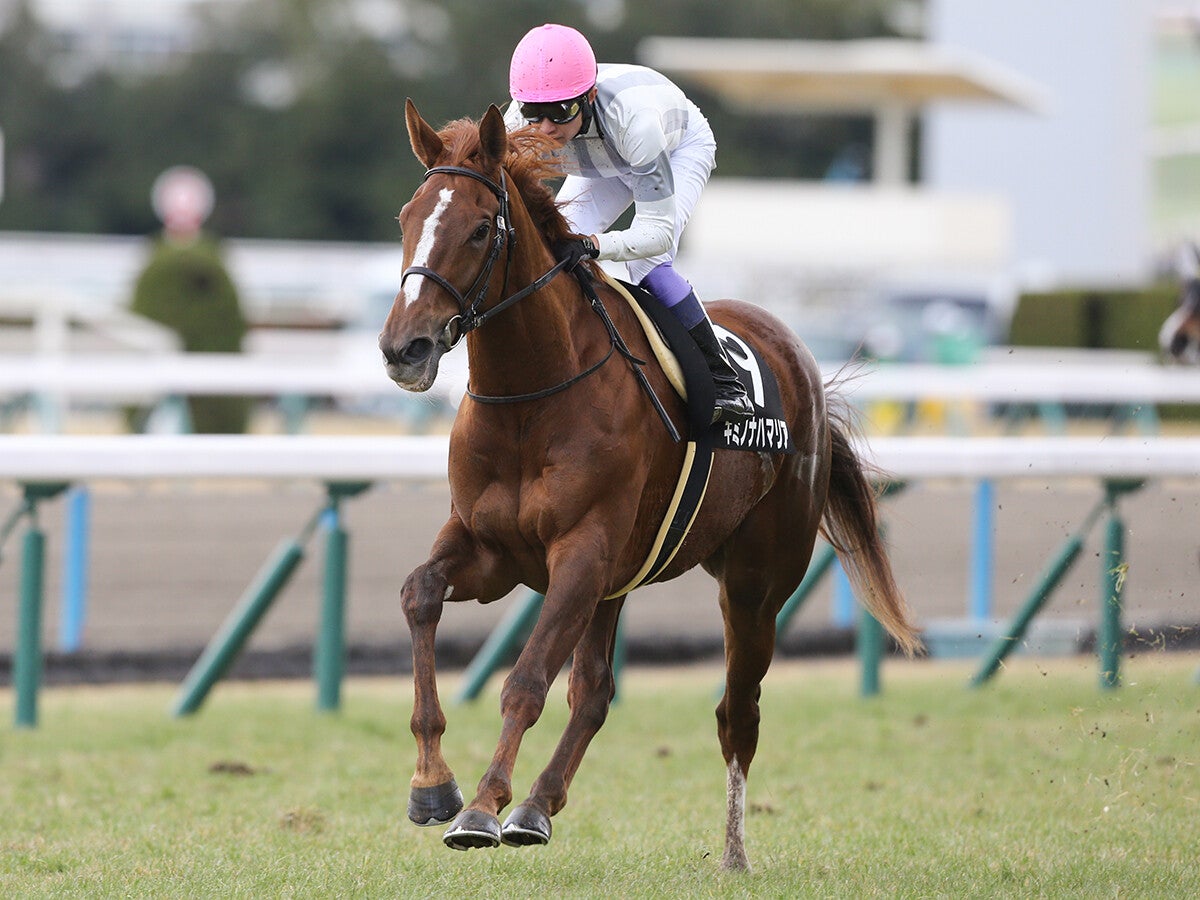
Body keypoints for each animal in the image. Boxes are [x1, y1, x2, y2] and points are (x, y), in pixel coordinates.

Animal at [379, 100, 921, 873]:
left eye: (480, 229)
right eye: (406, 217)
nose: (405, 349)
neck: (531, 397)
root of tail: (798, 357)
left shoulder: (581, 553)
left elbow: (526, 681)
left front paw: (481, 807)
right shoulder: (491, 549)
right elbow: (420, 594)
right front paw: (433, 785)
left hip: (753, 584)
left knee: (737, 713)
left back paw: (732, 852)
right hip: (620, 581)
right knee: (596, 692)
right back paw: (538, 808)